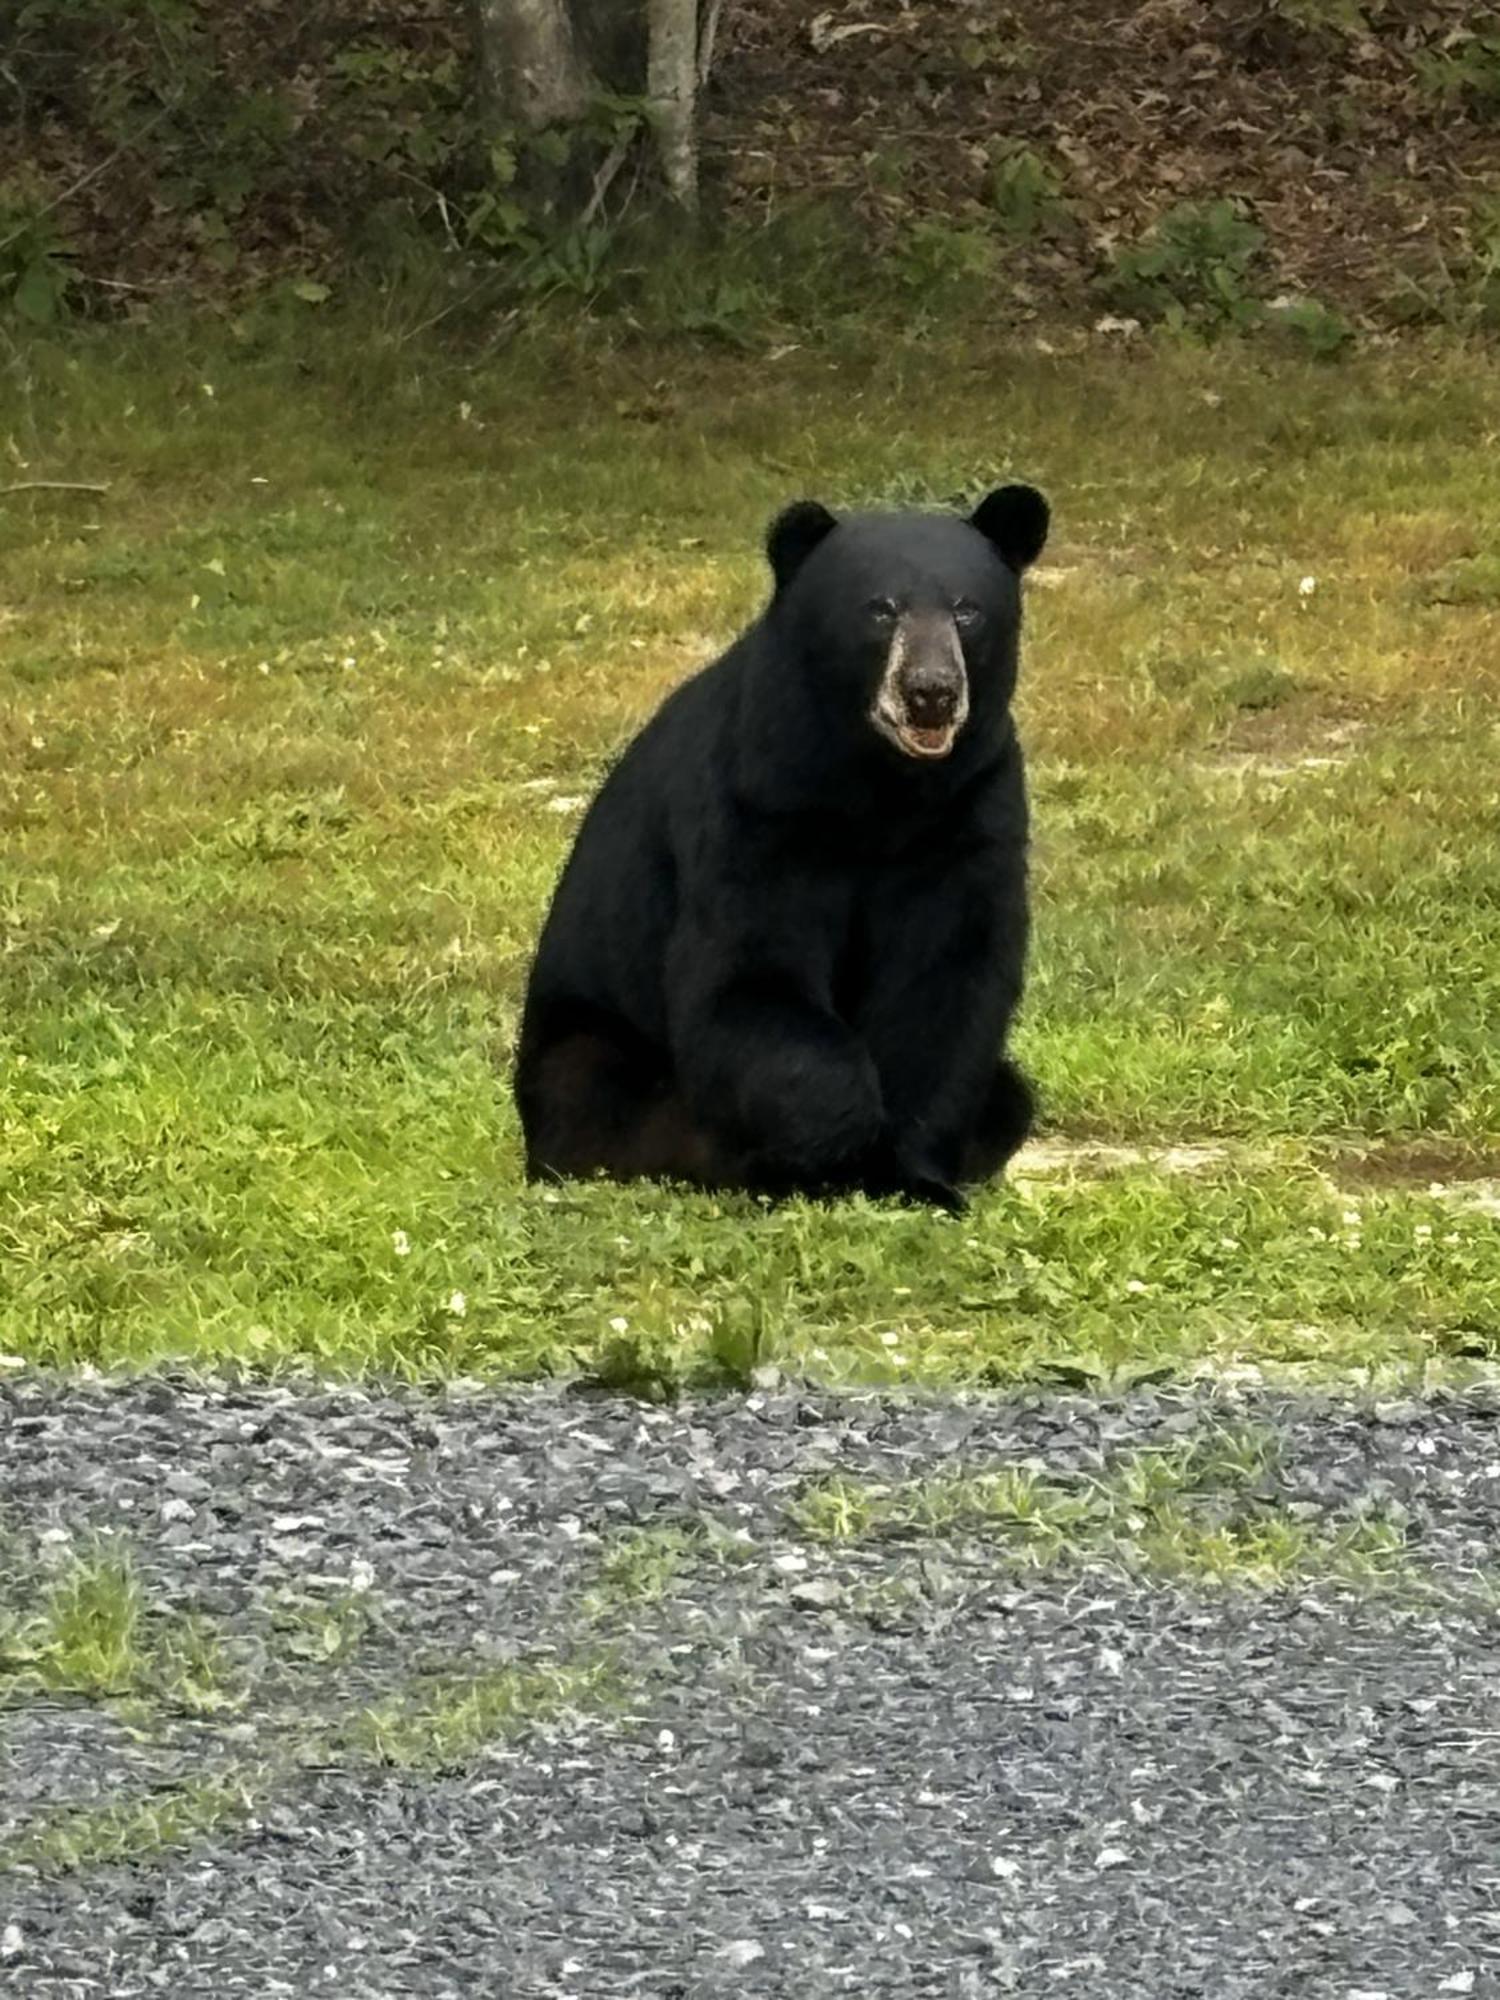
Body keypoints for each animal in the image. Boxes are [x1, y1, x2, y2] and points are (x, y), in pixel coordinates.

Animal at [524, 480, 1048, 1216]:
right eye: (880, 609)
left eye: (967, 610)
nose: (931, 694)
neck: (881, 790)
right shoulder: (757, 806)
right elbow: (749, 974)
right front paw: (838, 1150)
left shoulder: (970, 811)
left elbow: (946, 982)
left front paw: (915, 1177)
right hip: (597, 1068)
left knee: (1009, 1097)